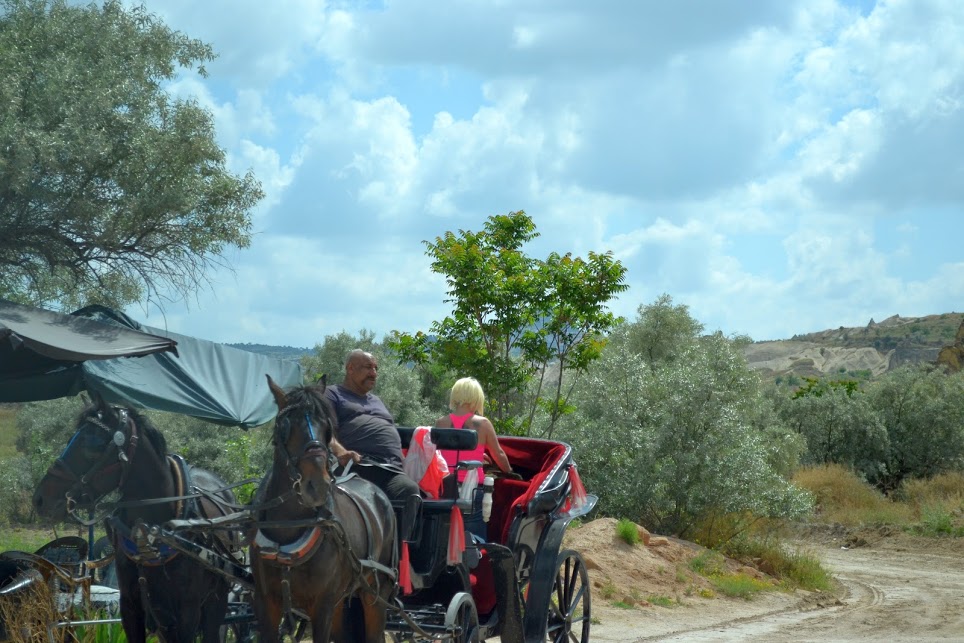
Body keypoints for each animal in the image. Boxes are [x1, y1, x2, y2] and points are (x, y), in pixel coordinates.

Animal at [32, 396, 241, 643]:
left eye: (91, 445)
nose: (40, 499)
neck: (151, 531)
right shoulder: (131, 607)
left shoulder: (187, 612)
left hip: (215, 603)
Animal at [249, 376, 398, 643]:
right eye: (285, 425)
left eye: (327, 428)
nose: (317, 485)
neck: (288, 527)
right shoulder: (266, 603)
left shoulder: (323, 605)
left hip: (376, 593)